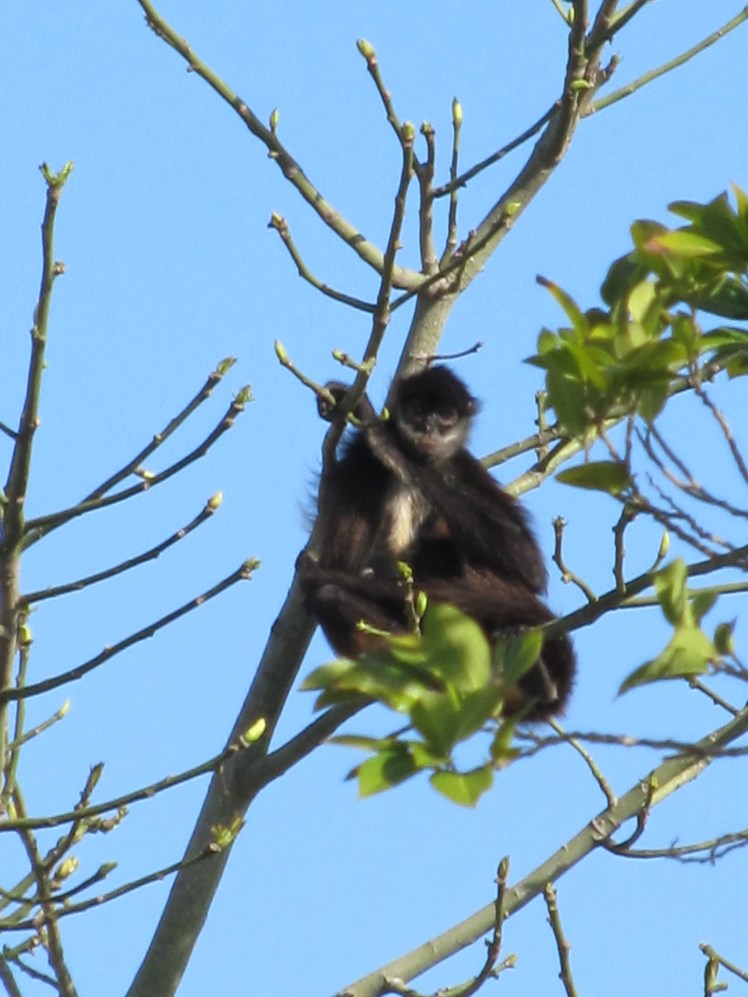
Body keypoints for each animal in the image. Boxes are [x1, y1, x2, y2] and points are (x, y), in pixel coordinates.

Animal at [300, 365, 575, 719]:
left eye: (445, 414)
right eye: (418, 411)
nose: (429, 428)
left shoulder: (461, 465)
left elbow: (531, 566)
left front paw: (385, 439)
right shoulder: (359, 460)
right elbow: (340, 567)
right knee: (330, 596)